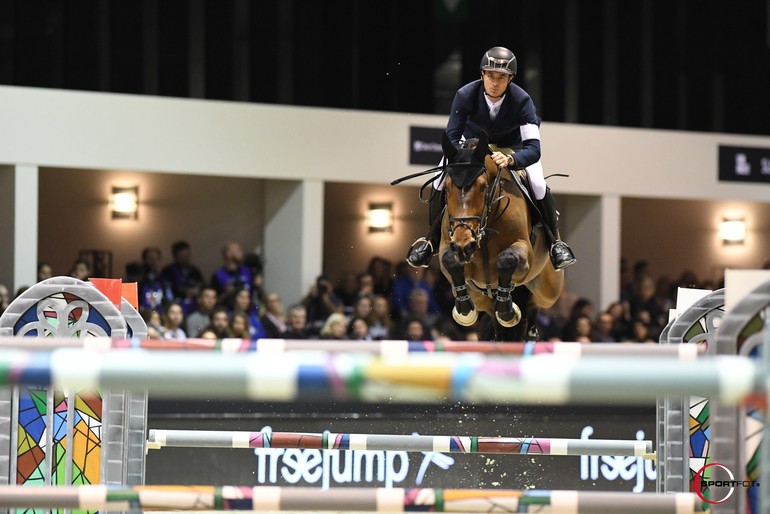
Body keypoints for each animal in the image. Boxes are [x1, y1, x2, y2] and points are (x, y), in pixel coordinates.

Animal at [436, 131, 560, 340]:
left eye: (483, 187)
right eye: (447, 187)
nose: (464, 245)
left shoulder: (524, 252)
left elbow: (507, 259)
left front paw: (507, 310)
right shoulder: (448, 246)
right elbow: (451, 261)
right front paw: (464, 309)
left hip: (548, 288)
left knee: (535, 303)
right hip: (482, 298)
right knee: (492, 314)